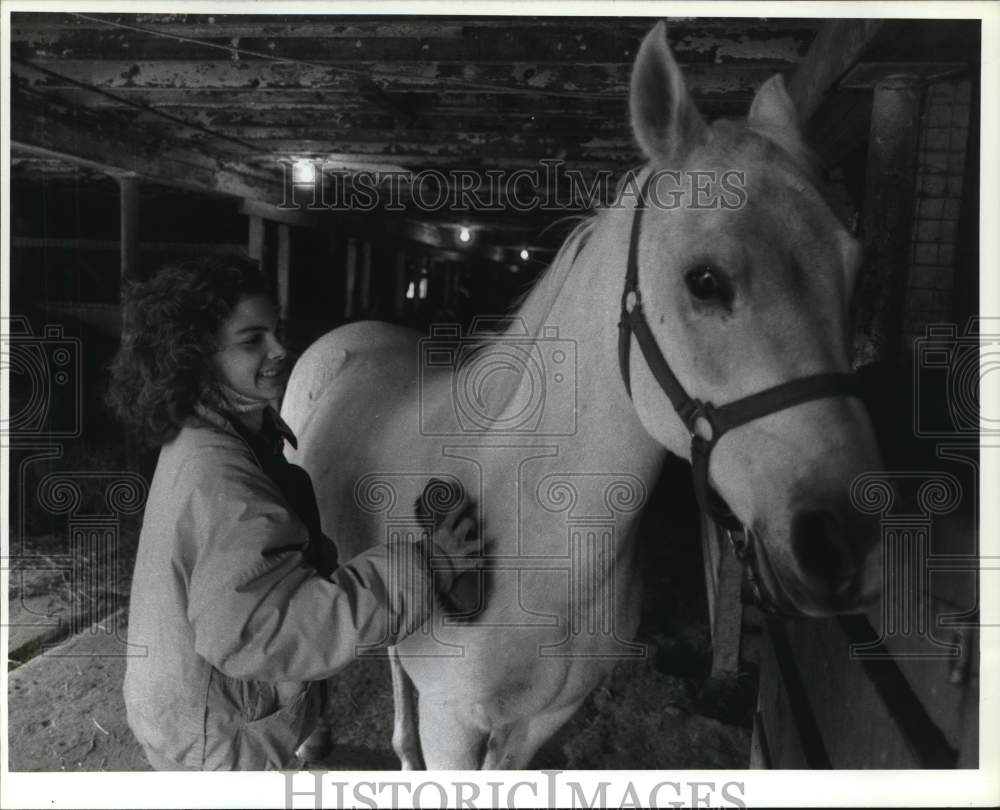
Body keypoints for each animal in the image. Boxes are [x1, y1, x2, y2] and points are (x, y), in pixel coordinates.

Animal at [284, 23, 884, 772]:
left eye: (857, 273)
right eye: (705, 280)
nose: (847, 541)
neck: (536, 536)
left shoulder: (539, 726)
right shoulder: (457, 726)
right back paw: (313, 737)